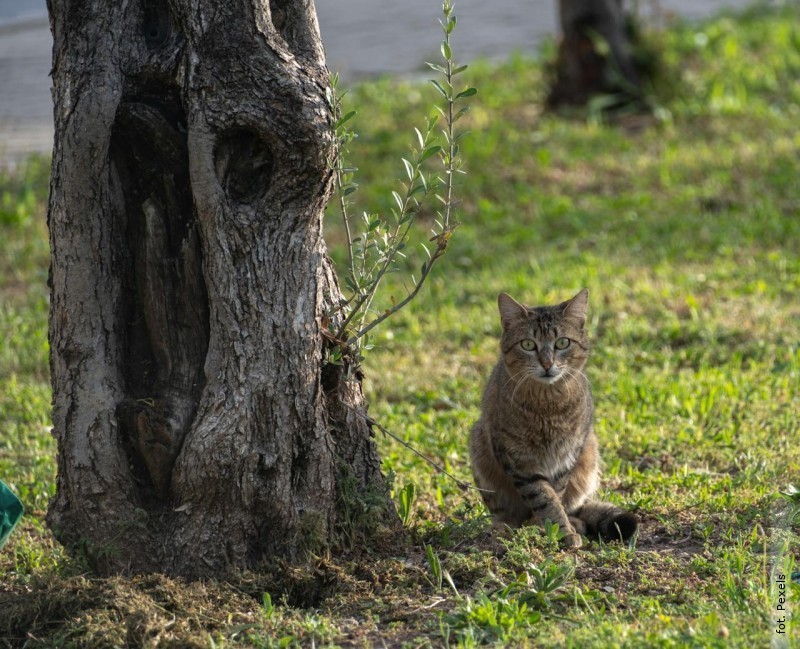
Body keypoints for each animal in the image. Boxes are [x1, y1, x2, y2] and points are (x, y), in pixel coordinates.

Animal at [468, 288, 636, 548]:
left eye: (562, 343)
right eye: (528, 344)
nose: (547, 363)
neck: (548, 405)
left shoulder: (566, 457)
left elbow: (554, 495)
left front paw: (553, 528)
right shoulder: (520, 461)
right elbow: (544, 498)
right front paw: (559, 530)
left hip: (589, 453)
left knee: (575, 507)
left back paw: (574, 522)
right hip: (480, 446)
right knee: (507, 514)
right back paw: (502, 527)